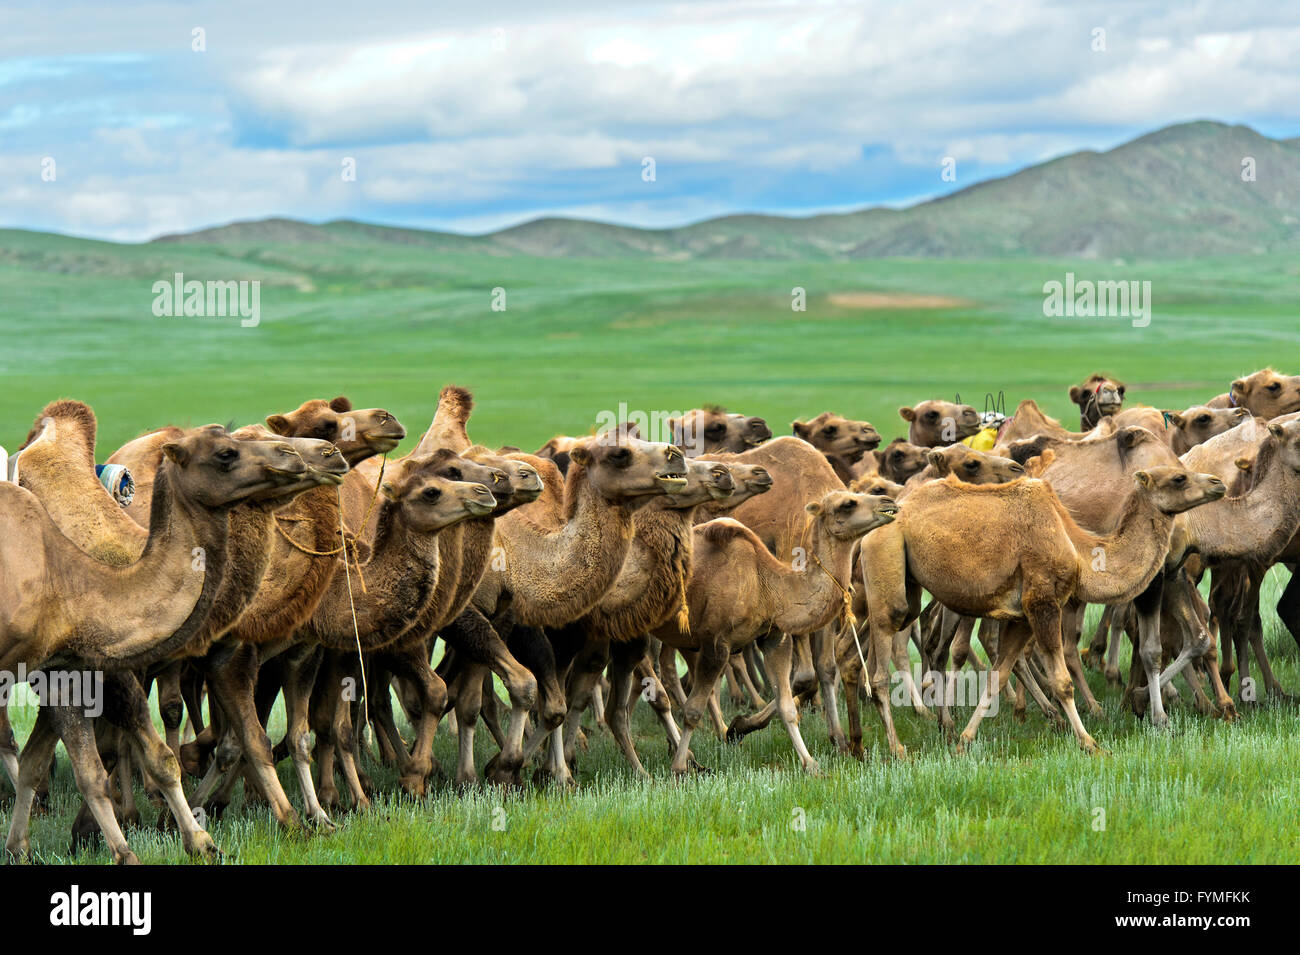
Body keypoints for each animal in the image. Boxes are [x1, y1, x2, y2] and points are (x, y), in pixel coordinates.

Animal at [655, 493, 899, 779]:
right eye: (847, 504)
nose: (888, 502)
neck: (766, 585)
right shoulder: (716, 642)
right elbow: (693, 709)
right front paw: (679, 768)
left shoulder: (773, 637)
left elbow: (787, 706)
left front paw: (810, 763)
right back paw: (684, 755)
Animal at [857, 467, 1222, 758]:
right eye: (1179, 477)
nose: (1218, 483)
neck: (1080, 551)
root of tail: (890, 514)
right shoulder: (1043, 602)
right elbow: (1062, 682)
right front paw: (1090, 743)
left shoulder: (1022, 617)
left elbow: (998, 676)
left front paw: (964, 741)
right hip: (886, 555)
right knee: (882, 660)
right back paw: (897, 747)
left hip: (909, 582)